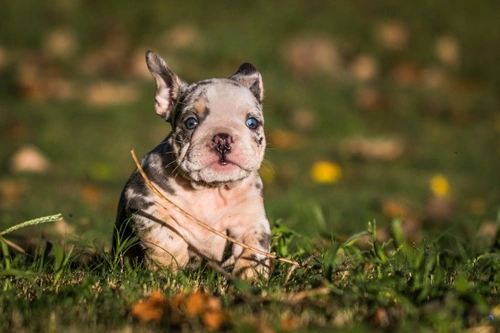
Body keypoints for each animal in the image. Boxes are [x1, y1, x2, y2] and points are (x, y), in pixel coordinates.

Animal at [114, 50, 272, 278]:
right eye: (190, 122)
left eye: (252, 123)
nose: (222, 138)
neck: (210, 190)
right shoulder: (144, 201)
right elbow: (166, 235)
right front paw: (169, 268)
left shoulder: (251, 221)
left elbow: (254, 249)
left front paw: (251, 278)